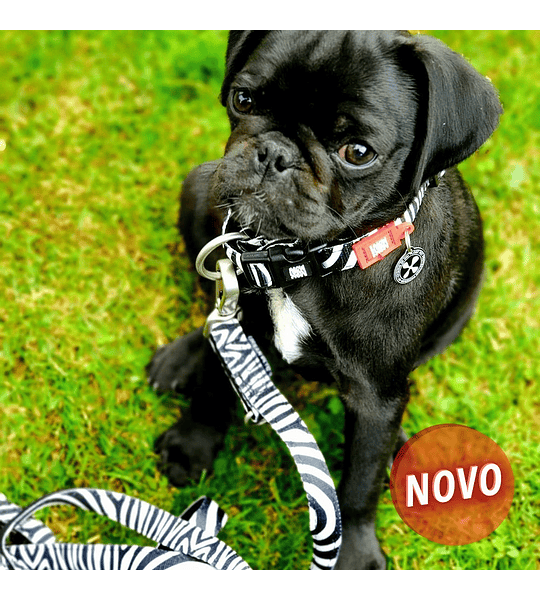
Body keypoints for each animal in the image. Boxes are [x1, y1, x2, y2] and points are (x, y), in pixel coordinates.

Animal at [148, 30, 502, 569]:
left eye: (357, 152)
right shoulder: (236, 309)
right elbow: (215, 377)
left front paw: (353, 553)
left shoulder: (376, 398)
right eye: (243, 100)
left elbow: (359, 483)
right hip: (199, 187)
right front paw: (193, 444)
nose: (274, 153)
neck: (302, 261)